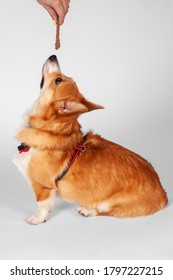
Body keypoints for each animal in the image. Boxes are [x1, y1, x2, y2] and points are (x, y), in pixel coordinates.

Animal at [13, 55, 168, 224]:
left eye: (58, 80)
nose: (54, 56)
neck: (49, 130)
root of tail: (163, 194)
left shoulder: (43, 188)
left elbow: (42, 205)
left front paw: (37, 219)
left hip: (111, 203)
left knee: (106, 211)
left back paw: (87, 210)